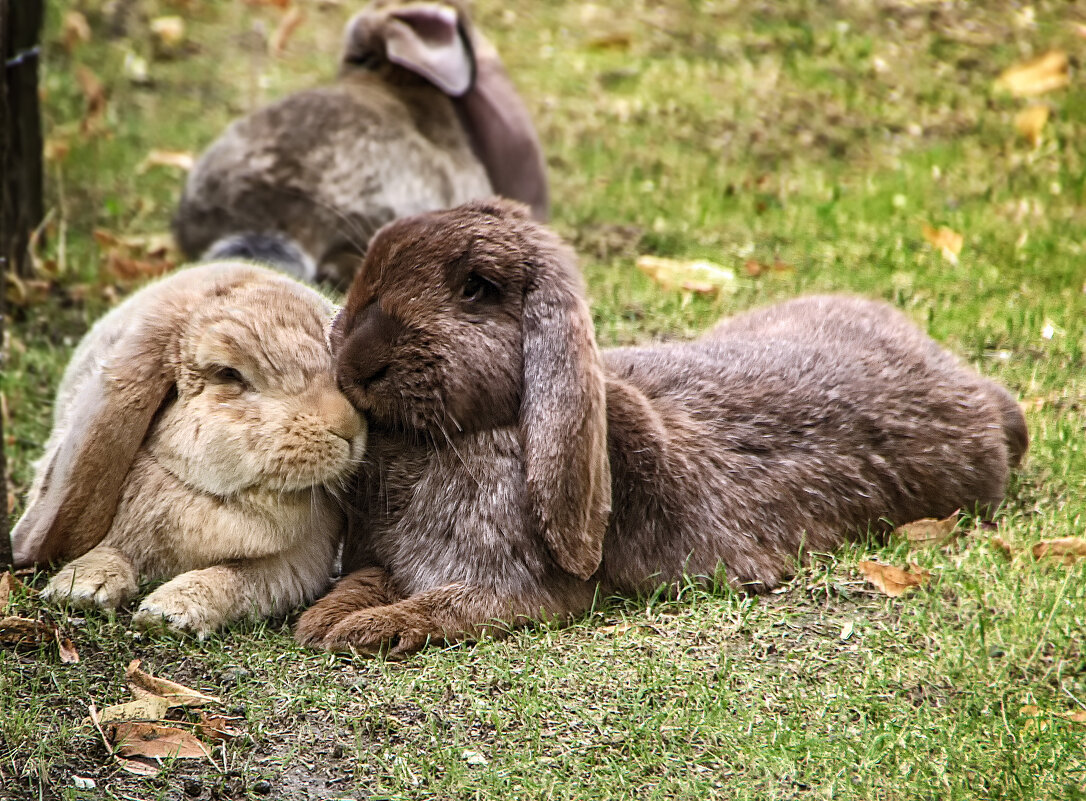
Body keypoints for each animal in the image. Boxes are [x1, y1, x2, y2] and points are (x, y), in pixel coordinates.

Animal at [9, 262, 364, 638]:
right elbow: (111, 550)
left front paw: (169, 611)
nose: (348, 427)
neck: (217, 496)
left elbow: (235, 578)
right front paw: (82, 588)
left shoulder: (296, 565)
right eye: (229, 373)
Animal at [295, 196, 1025, 651]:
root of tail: (982, 395)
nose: (357, 362)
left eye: (476, 288)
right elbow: (365, 579)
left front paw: (365, 630)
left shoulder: (511, 588)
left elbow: (444, 607)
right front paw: (323, 618)